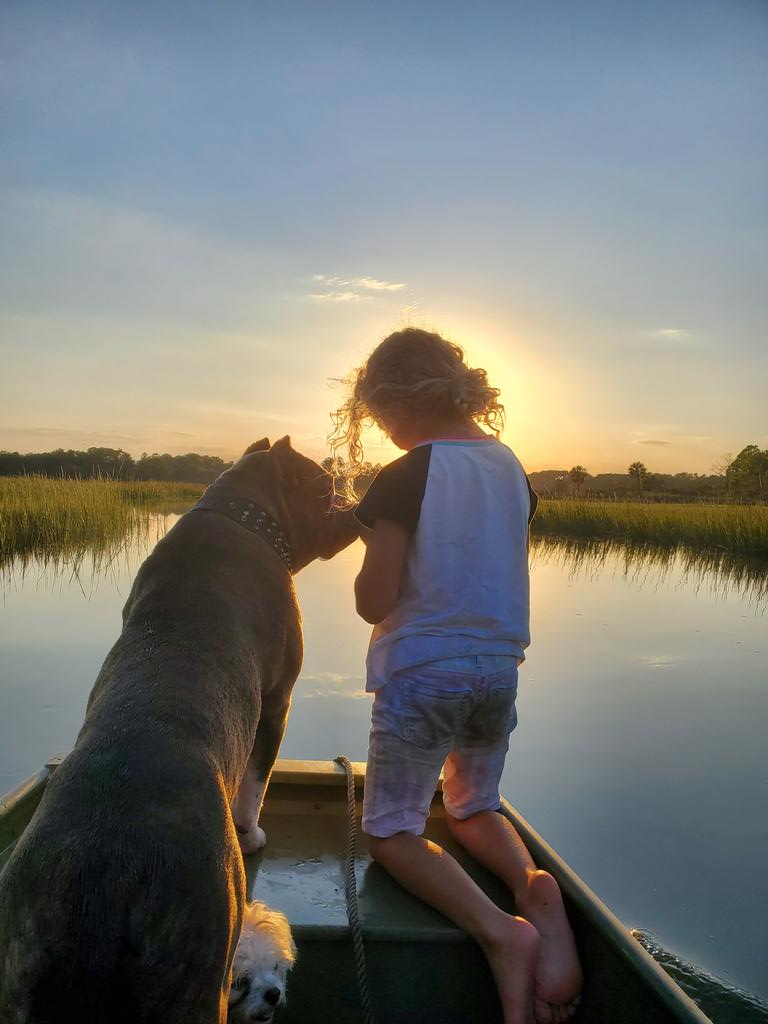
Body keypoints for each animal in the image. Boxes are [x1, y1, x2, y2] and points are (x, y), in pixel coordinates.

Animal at [0, 436, 360, 1019]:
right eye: (324, 484)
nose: (350, 495)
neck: (240, 515)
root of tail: (107, 875)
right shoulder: (277, 701)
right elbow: (257, 782)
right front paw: (253, 834)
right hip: (199, 979)